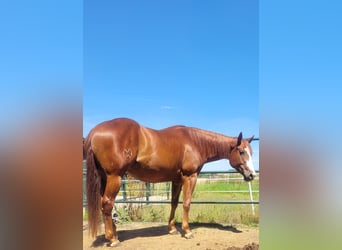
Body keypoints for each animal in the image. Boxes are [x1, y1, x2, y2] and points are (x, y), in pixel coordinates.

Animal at [84, 117, 255, 246]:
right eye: (241, 152)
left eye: (251, 152)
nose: (252, 175)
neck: (195, 142)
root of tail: (94, 131)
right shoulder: (190, 177)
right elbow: (186, 203)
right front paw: (187, 231)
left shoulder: (176, 180)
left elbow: (174, 202)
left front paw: (172, 228)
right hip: (115, 177)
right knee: (107, 203)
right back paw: (112, 239)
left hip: (104, 177)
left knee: (104, 204)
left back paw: (114, 234)